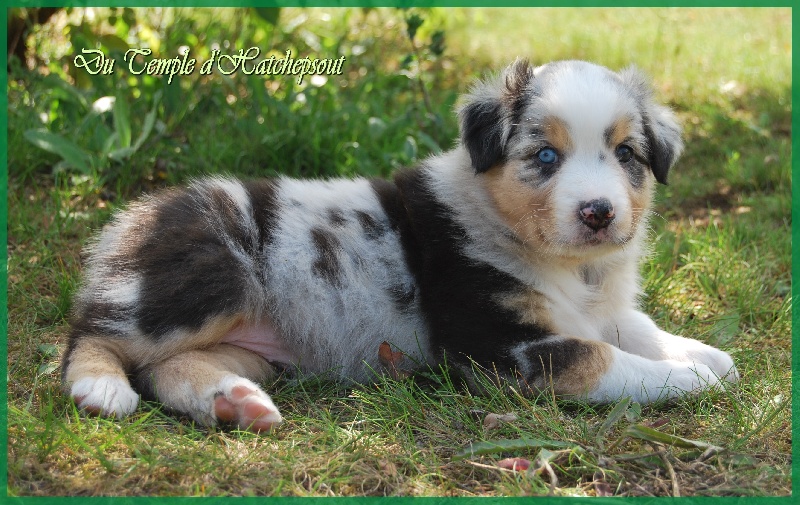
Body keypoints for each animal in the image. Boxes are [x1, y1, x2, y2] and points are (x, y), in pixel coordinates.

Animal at [61, 58, 736, 430]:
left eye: (626, 155)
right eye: (546, 156)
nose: (598, 213)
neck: (570, 268)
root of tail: (135, 219)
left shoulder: (596, 308)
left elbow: (636, 329)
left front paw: (705, 355)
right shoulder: (500, 346)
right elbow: (603, 358)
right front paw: (692, 379)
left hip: (257, 347)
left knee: (165, 367)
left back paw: (233, 403)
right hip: (208, 274)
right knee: (94, 335)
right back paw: (99, 389)